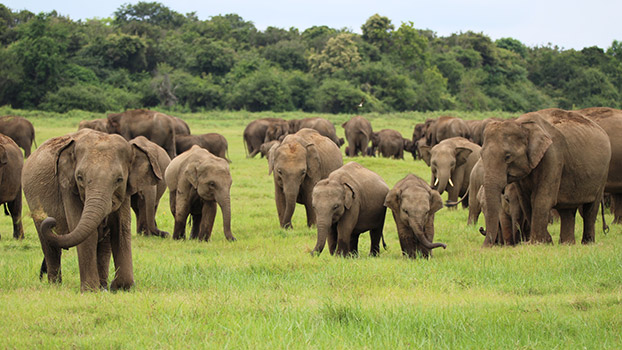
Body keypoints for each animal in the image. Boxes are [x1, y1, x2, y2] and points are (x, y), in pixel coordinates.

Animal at [22, 129, 163, 292]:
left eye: (119, 179)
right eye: (80, 177)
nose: (51, 221)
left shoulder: (124, 192)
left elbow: (120, 230)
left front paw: (119, 287)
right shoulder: (68, 188)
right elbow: (88, 234)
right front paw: (90, 290)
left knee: (104, 246)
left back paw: (103, 287)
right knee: (49, 246)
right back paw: (55, 285)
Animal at [480, 108, 612, 246]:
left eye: (507, 156)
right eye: (481, 155)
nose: (484, 247)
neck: (521, 123)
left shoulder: (553, 157)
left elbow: (542, 198)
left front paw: (537, 242)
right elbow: (526, 201)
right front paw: (546, 241)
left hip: (603, 173)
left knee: (590, 209)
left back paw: (587, 243)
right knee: (568, 211)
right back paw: (567, 244)